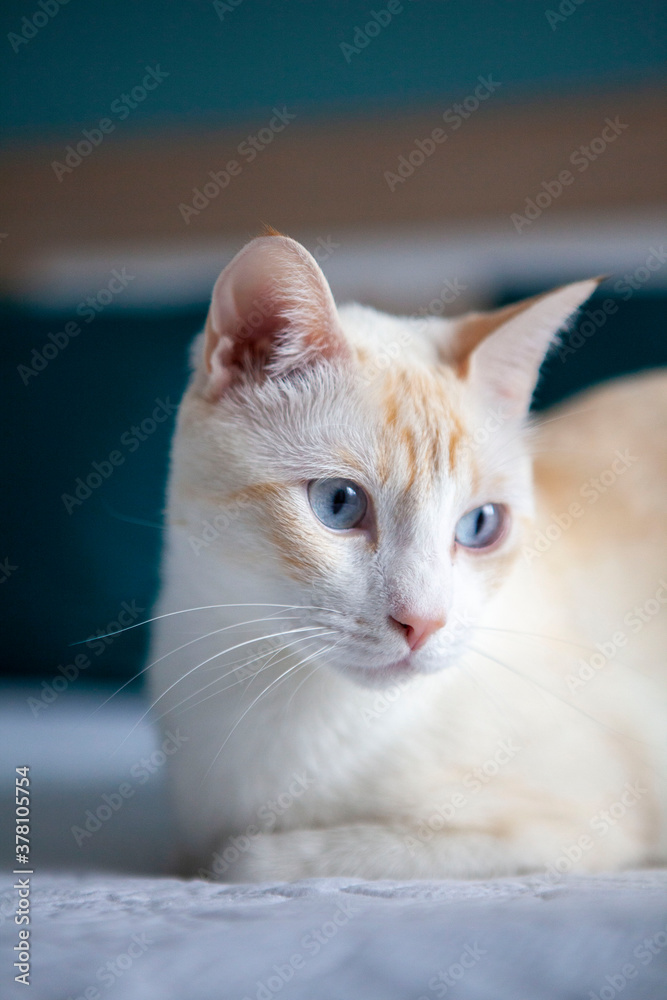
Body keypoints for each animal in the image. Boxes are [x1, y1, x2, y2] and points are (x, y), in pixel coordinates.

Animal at [150, 234, 667, 884]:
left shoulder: (575, 829)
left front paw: (242, 853)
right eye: (340, 503)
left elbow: (250, 860)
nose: (423, 622)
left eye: (480, 525)